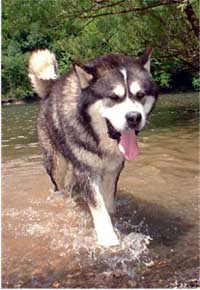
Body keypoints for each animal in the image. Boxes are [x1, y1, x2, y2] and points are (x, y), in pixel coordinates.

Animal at [27, 48, 158, 247]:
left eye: (140, 95)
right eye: (113, 97)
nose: (134, 118)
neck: (100, 140)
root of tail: (52, 86)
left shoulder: (113, 169)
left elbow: (109, 204)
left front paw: (115, 221)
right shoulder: (86, 171)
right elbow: (98, 206)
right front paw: (108, 239)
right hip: (57, 163)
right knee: (60, 187)